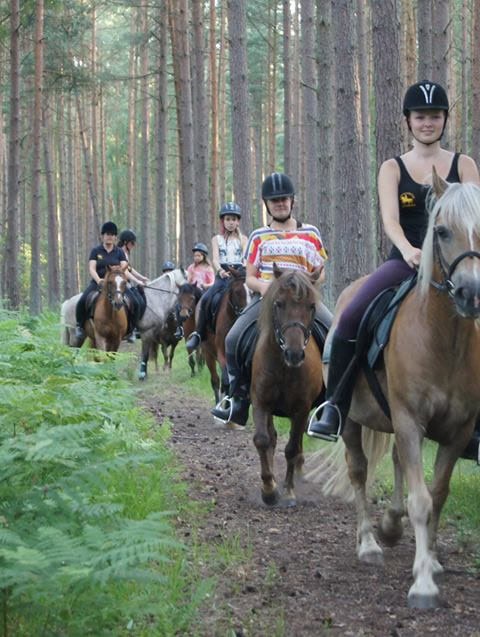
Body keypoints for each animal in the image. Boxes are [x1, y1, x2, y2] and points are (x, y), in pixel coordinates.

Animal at [249, 268, 324, 506]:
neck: (283, 367)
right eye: (279, 304)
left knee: (296, 441)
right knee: (272, 439)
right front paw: (269, 489)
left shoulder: (301, 408)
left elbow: (291, 448)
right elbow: (263, 440)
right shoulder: (260, 402)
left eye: (311, 306)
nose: (294, 354)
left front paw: (289, 490)